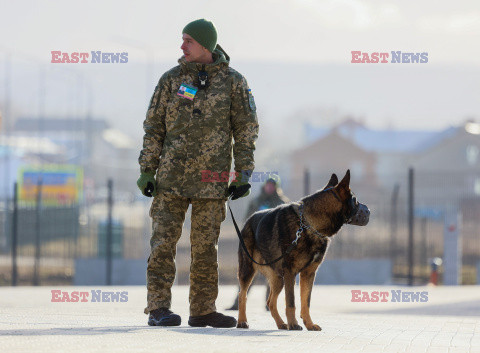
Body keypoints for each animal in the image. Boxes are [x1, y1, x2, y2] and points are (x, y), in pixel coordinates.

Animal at [238, 170, 370, 330]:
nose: (369, 210)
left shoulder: (308, 274)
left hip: (278, 279)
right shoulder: (290, 273)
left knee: (270, 301)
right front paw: (294, 324)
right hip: (248, 270)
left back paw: (281, 323)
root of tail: (248, 220)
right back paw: (242, 321)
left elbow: (306, 302)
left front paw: (309, 324)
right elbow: (291, 302)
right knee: (243, 295)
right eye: (355, 201)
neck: (309, 224)